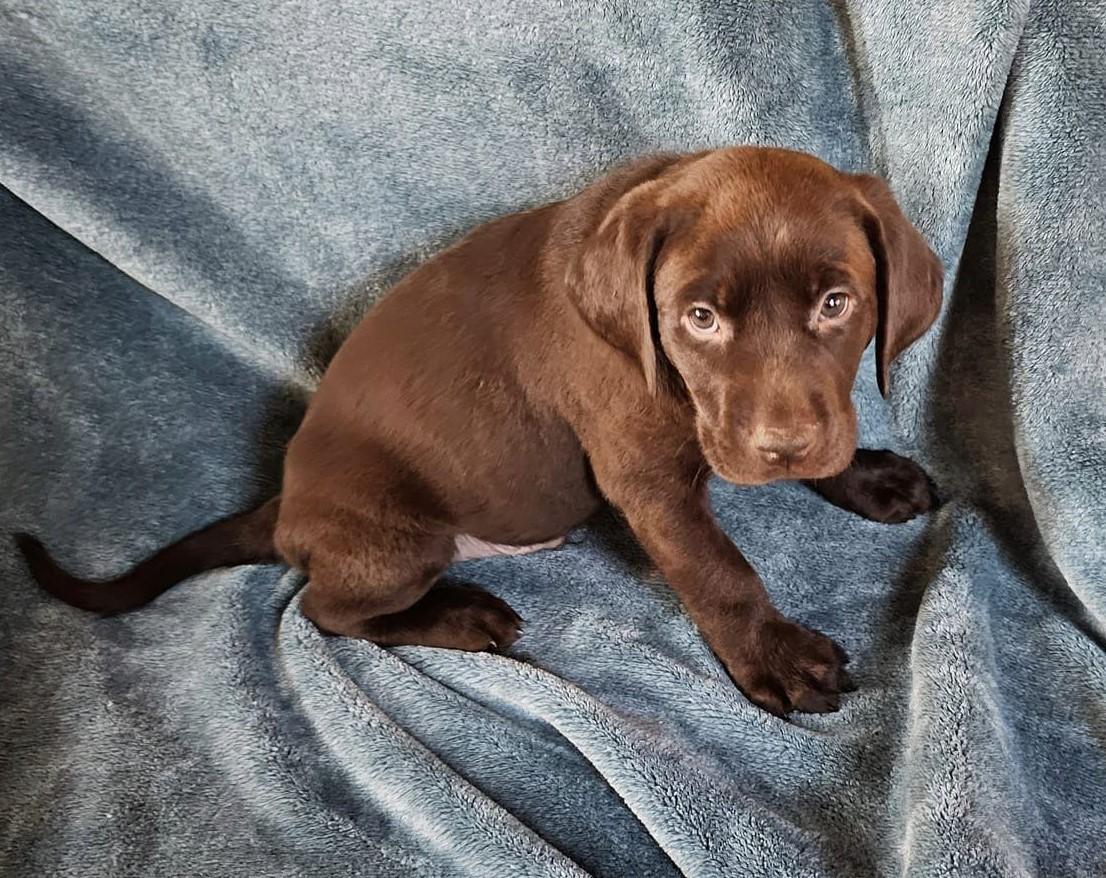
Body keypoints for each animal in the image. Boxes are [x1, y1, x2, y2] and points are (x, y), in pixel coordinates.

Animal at [16, 146, 942, 717]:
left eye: (838, 304)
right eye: (701, 319)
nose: (779, 448)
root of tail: (284, 504)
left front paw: (865, 476)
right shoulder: (645, 480)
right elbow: (720, 573)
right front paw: (773, 657)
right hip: (394, 539)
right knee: (324, 610)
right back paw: (459, 617)